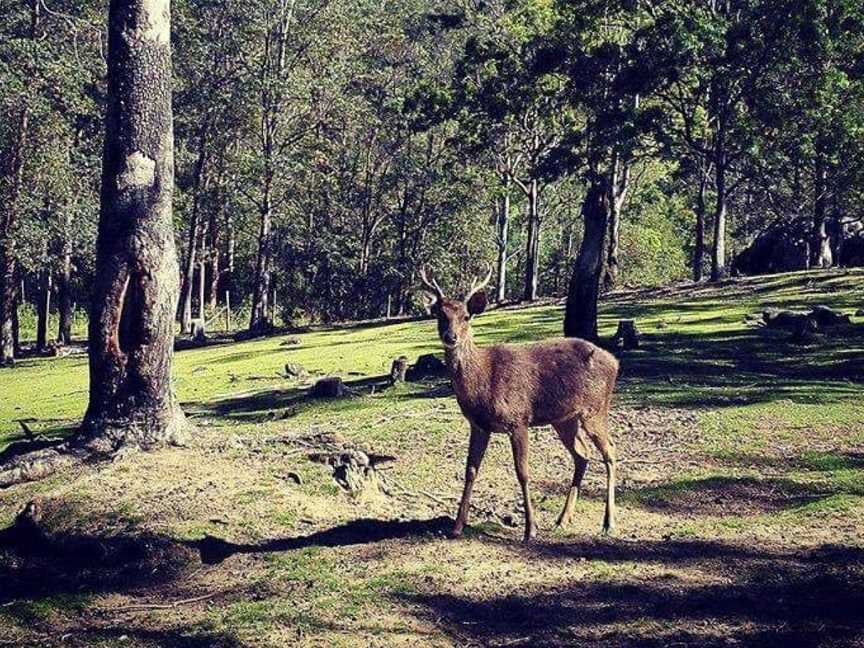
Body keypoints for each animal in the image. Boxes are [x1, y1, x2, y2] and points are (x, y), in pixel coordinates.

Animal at [420, 266, 616, 540]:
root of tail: (615, 362)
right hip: (565, 419)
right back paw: (562, 519)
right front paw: (457, 526)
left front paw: (530, 529)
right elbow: (470, 470)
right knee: (582, 454)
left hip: (596, 409)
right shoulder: (478, 425)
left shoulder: (519, 419)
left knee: (611, 451)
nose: (451, 337)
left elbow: (522, 472)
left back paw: (608, 522)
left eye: (467, 316)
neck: (483, 381)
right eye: (440, 315)